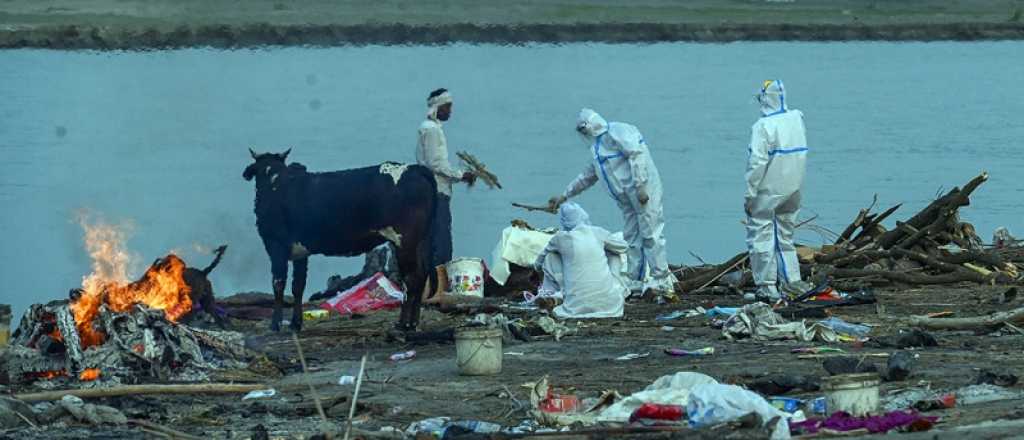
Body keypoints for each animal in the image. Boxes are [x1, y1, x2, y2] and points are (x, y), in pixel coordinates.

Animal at [246, 149, 440, 331]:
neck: (276, 183)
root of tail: (414, 168)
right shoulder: (300, 251)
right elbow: (298, 286)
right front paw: (296, 323)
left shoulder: (276, 245)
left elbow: (278, 284)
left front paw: (275, 324)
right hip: (420, 242)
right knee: (421, 275)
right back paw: (413, 323)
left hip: (404, 241)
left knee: (411, 279)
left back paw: (402, 324)